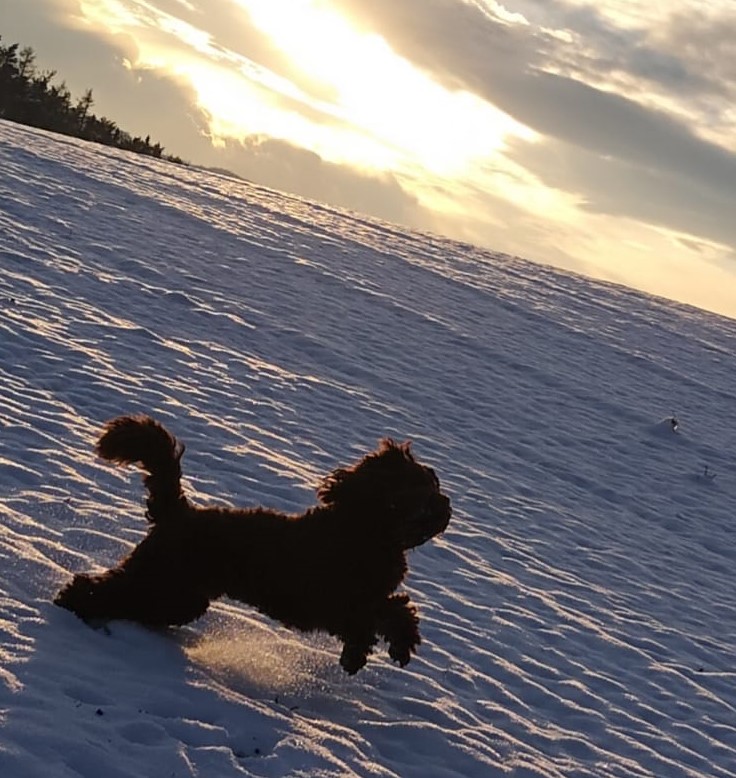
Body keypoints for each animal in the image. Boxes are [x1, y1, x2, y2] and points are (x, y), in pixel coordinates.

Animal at [54, 416, 452, 668]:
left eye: (432, 485)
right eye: (416, 488)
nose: (445, 507)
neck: (365, 529)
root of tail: (179, 512)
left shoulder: (360, 599)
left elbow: (396, 610)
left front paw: (400, 644)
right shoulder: (330, 600)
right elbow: (374, 617)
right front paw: (356, 655)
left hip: (181, 596)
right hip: (164, 580)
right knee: (102, 588)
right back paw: (71, 604)